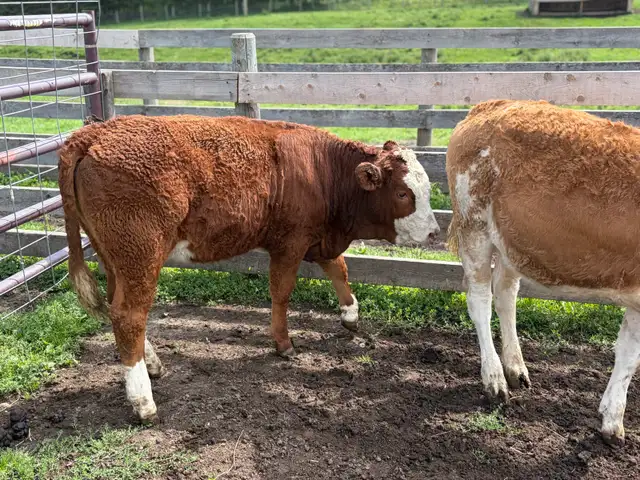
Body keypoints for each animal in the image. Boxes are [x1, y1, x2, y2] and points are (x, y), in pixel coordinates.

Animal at [58, 114, 440, 422]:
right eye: (404, 194)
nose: (435, 233)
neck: (321, 170)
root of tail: (94, 132)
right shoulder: (290, 242)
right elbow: (282, 292)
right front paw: (283, 344)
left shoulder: (318, 236)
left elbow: (339, 269)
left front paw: (350, 315)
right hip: (141, 254)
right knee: (129, 316)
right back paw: (143, 402)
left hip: (116, 257)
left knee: (116, 308)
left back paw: (152, 364)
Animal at [446, 98, 640, 446]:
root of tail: (486, 107)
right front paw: (613, 422)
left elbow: (628, 353)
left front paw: (610, 418)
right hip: (474, 226)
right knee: (479, 300)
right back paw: (494, 379)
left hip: (511, 241)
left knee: (505, 294)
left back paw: (515, 369)